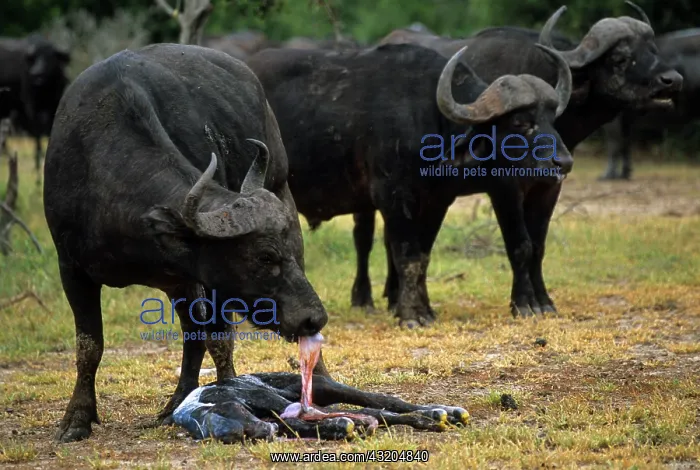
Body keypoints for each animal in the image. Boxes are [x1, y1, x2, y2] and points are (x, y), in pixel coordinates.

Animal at [0, 34, 70, 171]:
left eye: (50, 57)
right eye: (34, 58)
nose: (37, 74)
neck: (44, 91)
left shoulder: (54, 105)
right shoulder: (31, 107)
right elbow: (37, 134)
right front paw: (37, 162)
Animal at [43, 44, 329, 443]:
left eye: (284, 248)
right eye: (265, 255)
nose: (313, 317)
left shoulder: (209, 277)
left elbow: (219, 339)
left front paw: (230, 394)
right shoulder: (71, 268)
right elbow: (89, 346)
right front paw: (77, 419)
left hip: (280, 193)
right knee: (191, 335)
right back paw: (176, 401)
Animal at [246, 41, 574, 328]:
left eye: (551, 118)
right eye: (521, 122)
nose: (564, 162)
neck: (431, 121)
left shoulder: (437, 201)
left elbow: (423, 257)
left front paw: (424, 309)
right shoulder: (393, 197)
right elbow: (407, 254)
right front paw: (411, 315)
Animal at [345, 4, 683, 322]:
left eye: (653, 49)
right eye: (621, 58)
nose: (672, 80)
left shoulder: (548, 186)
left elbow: (538, 246)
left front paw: (544, 300)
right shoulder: (504, 186)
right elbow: (519, 245)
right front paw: (523, 303)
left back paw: (394, 298)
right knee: (365, 237)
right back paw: (365, 298)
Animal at [602, 28, 700, 179]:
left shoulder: (615, 119)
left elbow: (614, 143)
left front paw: (608, 175)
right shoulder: (627, 118)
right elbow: (626, 143)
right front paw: (625, 174)